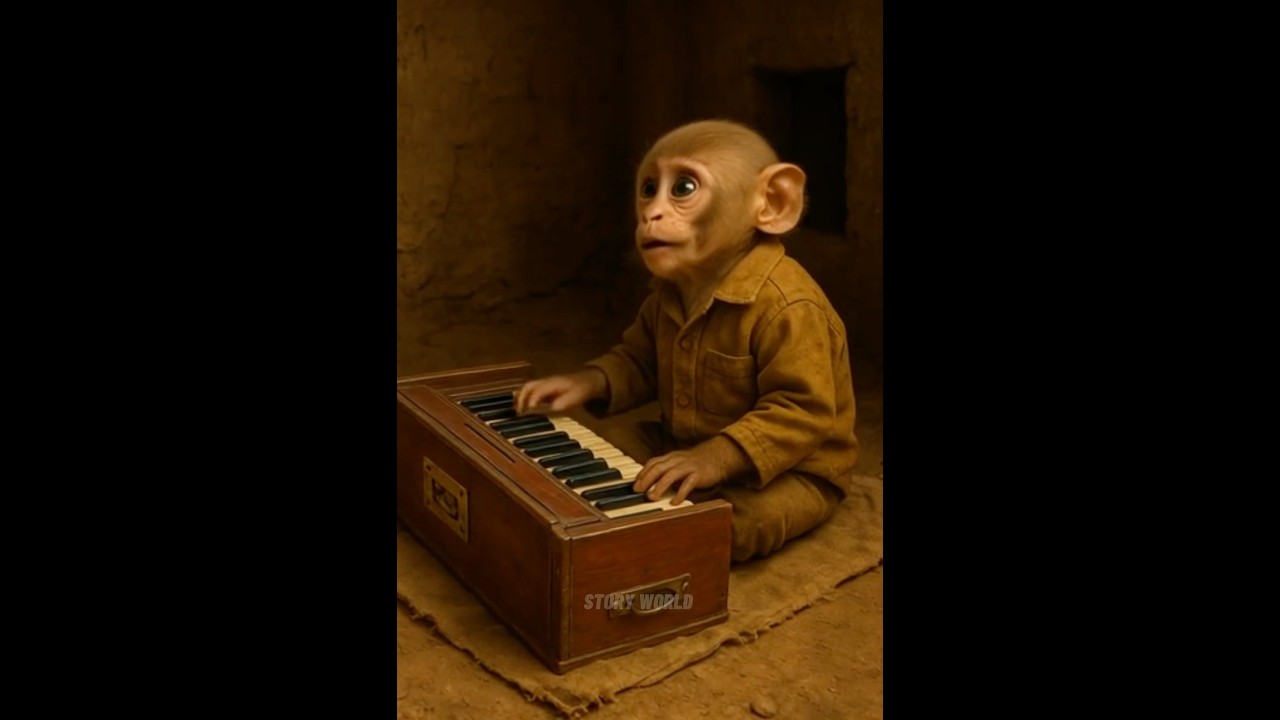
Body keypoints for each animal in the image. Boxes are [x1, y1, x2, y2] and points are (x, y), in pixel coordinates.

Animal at [516, 119, 859, 562]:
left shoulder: (796, 316)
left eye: (683, 188)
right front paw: (561, 386)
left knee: (755, 515)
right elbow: (635, 362)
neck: (711, 278)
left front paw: (695, 463)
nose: (651, 215)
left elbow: (796, 404)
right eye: (648, 189)